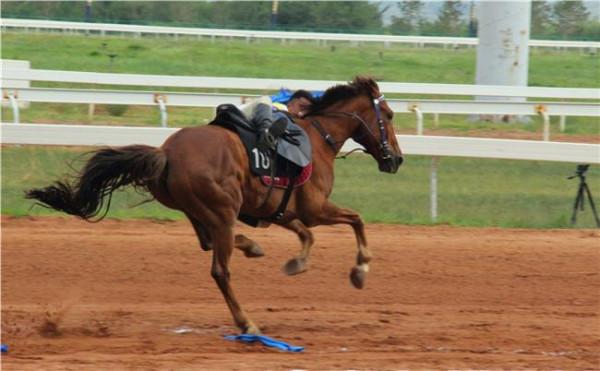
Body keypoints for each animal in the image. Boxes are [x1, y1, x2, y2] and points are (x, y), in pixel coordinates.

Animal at [27, 76, 404, 334]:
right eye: (388, 114)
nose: (397, 159)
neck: (318, 137)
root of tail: (166, 153)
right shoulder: (314, 208)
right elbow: (356, 219)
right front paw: (360, 270)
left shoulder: (282, 209)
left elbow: (306, 234)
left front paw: (295, 262)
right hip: (221, 209)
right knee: (220, 269)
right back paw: (246, 322)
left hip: (198, 210)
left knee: (210, 243)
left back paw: (251, 246)